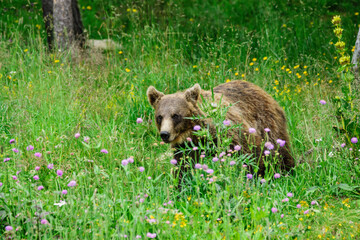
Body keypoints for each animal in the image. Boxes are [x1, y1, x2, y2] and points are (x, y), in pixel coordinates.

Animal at [147, 80, 296, 180]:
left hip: (267, 123)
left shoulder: (230, 135)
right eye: (159, 117)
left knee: (279, 150)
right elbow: (183, 168)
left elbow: (247, 157)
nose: (165, 134)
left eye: (175, 115)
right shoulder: (185, 147)